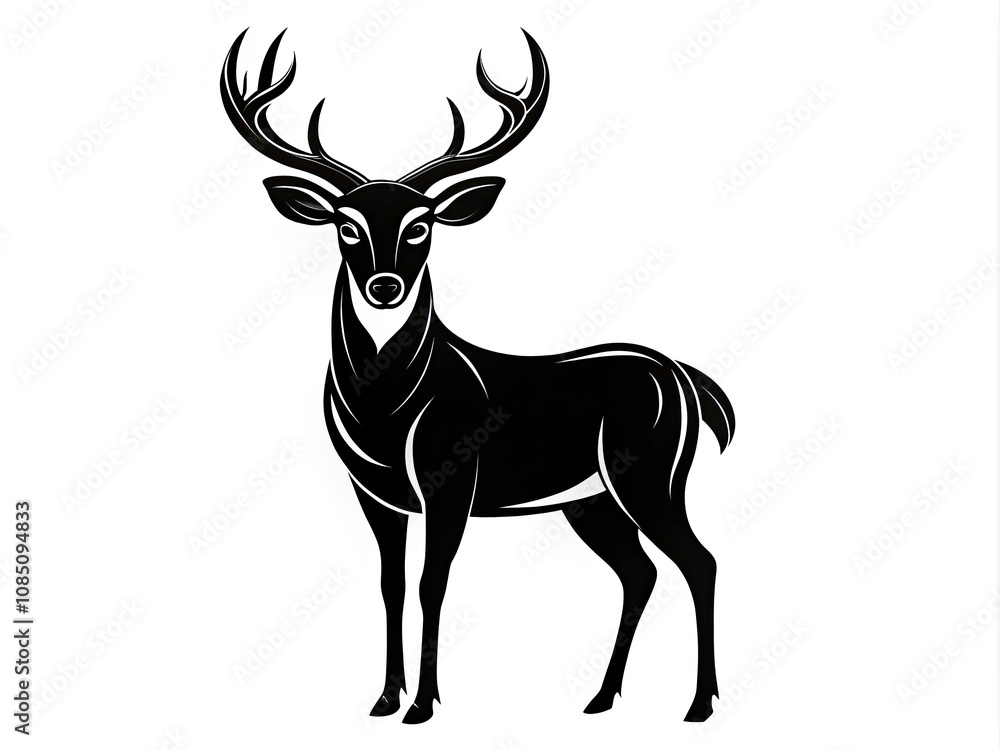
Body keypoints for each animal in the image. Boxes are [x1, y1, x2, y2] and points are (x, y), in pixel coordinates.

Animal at [221, 28, 735, 724]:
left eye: (421, 224)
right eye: (346, 225)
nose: (385, 285)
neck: (385, 414)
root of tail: (685, 377)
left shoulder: (451, 480)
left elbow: (431, 583)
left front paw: (424, 705)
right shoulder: (373, 492)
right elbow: (390, 584)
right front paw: (384, 700)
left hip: (650, 472)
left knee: (699, 561)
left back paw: (700, 705)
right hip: (591, 500)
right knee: (640, 573)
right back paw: (601, 698)